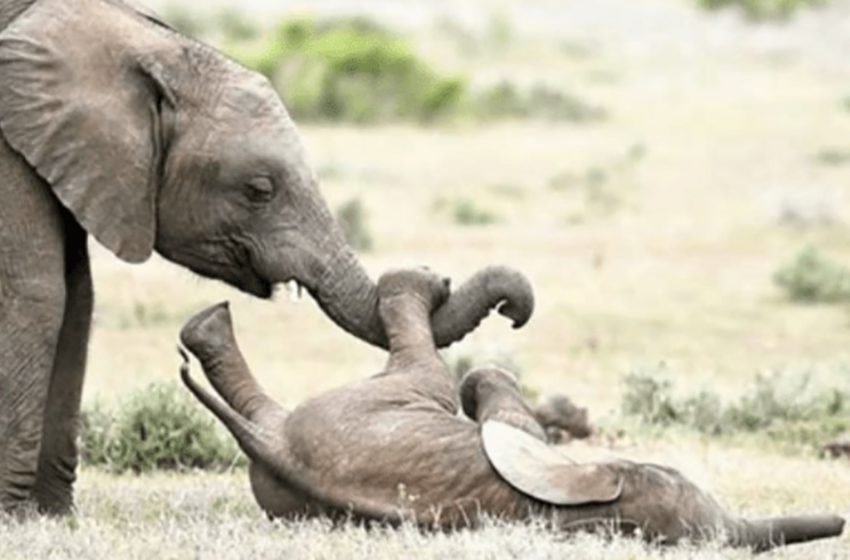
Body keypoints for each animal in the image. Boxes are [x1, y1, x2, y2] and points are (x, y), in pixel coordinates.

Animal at [0, 0, 528, 516]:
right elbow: (38, 294)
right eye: (258, 190)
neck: (138, 39)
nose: (512, 310)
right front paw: (16, 515)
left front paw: (53, 514)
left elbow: (77, 301)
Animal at [179, 268, 840, 552]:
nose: (838, 521)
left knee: (426, 369)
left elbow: (489, 387)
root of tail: (274, 448)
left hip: (376, 406)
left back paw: (207, 327)